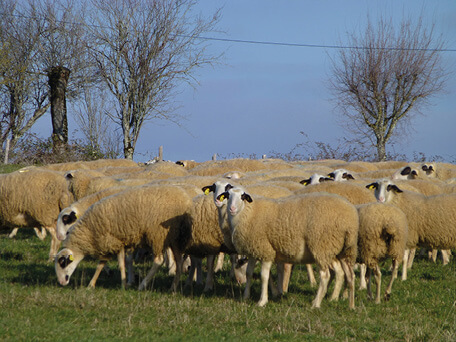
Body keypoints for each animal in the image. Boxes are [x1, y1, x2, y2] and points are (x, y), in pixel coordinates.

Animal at [56, 184, 193, 292]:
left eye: (63, 262)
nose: (61, 283)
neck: (89, 229)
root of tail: (186, 200)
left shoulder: (113, 241)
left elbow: (121, 264)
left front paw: (124, 284)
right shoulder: (113, 242)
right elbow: (102, 264)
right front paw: (92, 284)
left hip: (158, 235)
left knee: (159, 261)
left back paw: (142, 285)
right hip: (174, 238)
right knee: (179, 262)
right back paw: (173, 287)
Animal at [216, 188, 358, 308]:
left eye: (242, 197)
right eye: (228, 196)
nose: (232, 208)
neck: (248, 213)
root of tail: (351, 218)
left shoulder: (266, 251)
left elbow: (264, 276)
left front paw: (262, 301)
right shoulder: (253, 251)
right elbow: (249, 273)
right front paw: (245, 296)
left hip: (321, 246)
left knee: (325, 275)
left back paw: (316, 303)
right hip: (342, 251)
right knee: (347, 274)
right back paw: (348, 304)